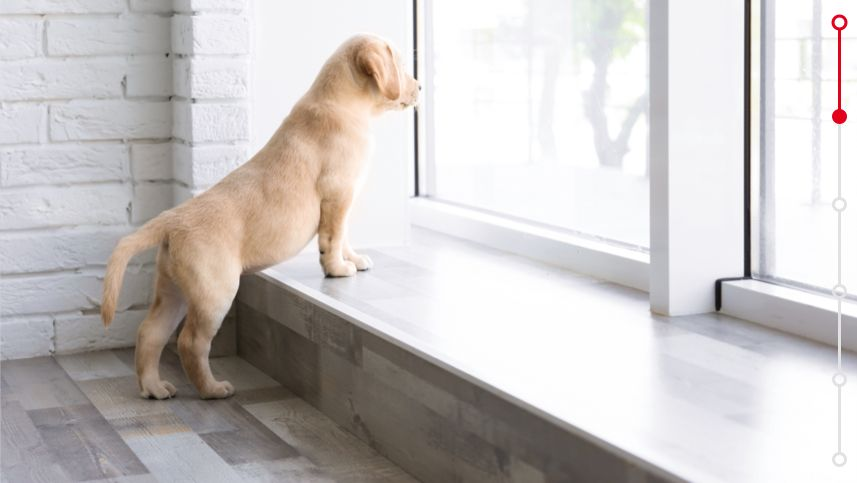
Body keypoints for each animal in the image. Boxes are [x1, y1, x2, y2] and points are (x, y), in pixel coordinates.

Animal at [100, 35, 418, 400]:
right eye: (402, 67)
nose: (420, 87)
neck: (339, 102)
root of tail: (172, 219)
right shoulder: (338, 193)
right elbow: (334, 236)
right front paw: (337, 268)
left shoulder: (344, 199)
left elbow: (346, 234)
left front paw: (353, 258)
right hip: (215, 292)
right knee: (190, 343)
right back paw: (213, 389)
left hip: (173, 291)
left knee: (150, 333)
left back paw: (154, 388)